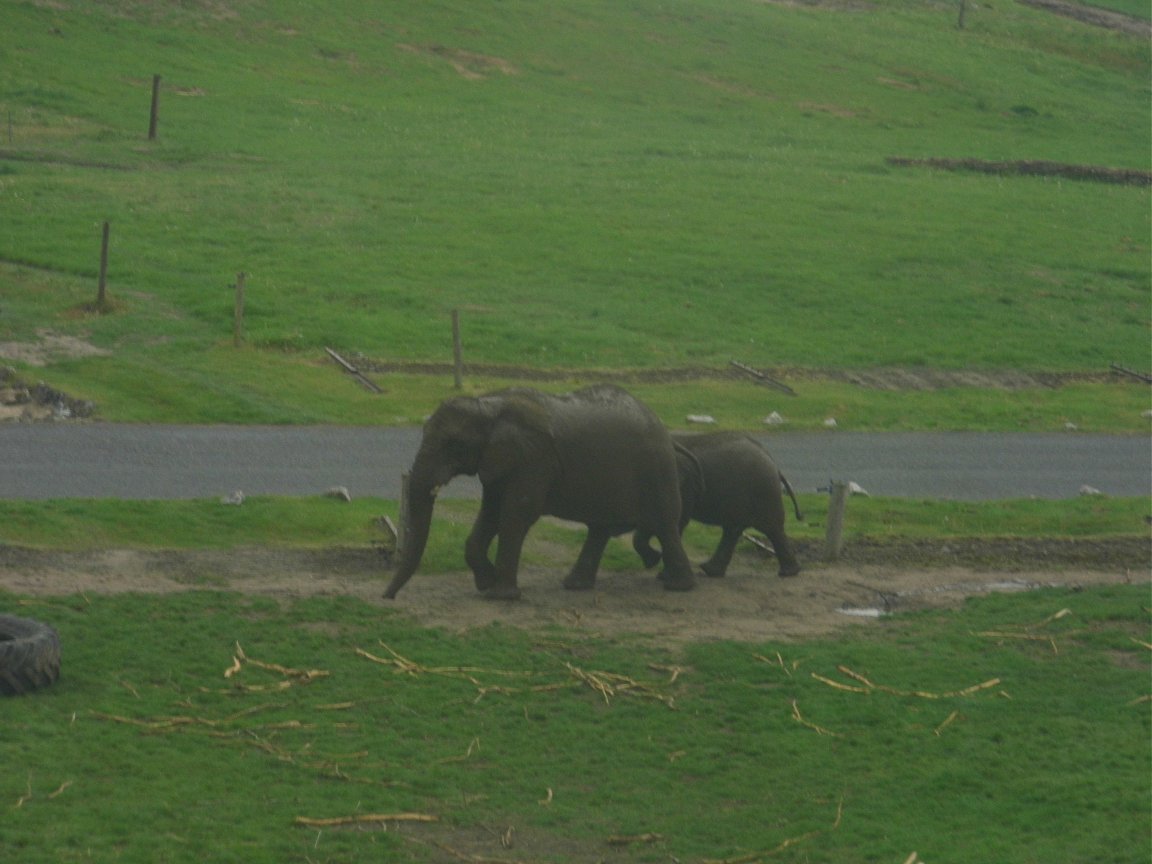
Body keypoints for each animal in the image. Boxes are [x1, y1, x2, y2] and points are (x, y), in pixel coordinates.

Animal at [384, 384, 691, 603]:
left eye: (452, 444)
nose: (388, 597)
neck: (488, 406)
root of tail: (663, 428)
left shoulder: (534, 459)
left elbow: (515, 515)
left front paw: (499, 595)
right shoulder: (498, 461)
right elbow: (490, 513)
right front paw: (486, 582)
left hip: (656, 472)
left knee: (664, 525)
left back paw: (679, 586)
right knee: (600, 530)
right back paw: (575, 585)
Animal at [631, 433, 801, 582]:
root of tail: (773, 462)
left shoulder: (683, 484)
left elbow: (671, 518)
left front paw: (660, 571)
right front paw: (655, 564)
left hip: (763, 491)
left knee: (771, 528)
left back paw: (787, 573)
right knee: (734, 529)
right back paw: (710, 571)